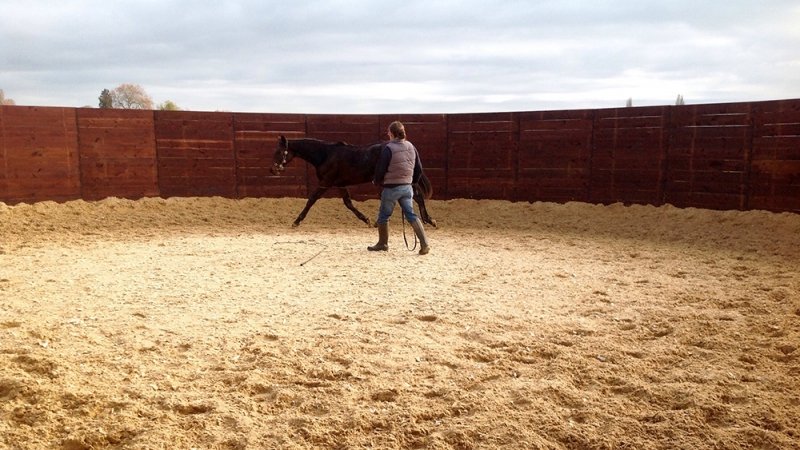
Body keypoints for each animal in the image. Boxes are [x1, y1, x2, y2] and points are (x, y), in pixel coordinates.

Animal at [270, 136, 436, 228]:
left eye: (279, 152)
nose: (273, 170)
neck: (325, 155)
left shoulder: (326, 182)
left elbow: (311, 199)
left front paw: (296, 221)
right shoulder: (340, 184)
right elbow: (348, 203)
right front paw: (366, 220)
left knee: (417, 197)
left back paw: (429, 220)